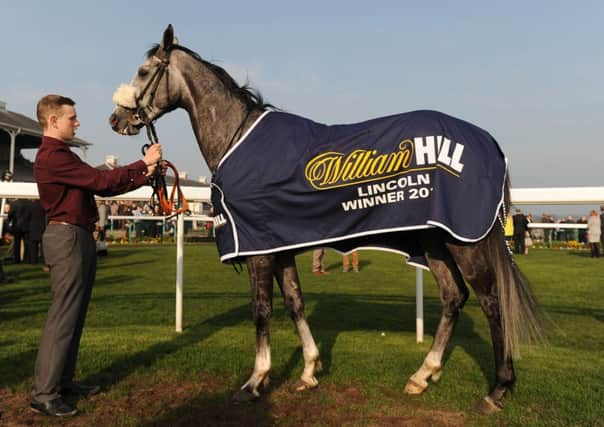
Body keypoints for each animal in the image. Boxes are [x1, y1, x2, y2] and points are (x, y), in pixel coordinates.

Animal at [109, 25, 548, 412]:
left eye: (144, 72)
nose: (116, 119)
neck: (240, 139)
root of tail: (488, 141)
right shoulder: (279, 245)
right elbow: (295, 303)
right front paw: (309, 370)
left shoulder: (258, 250)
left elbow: (262, 310)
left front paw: (255, 381)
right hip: (433, 241)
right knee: (453, 296)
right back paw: (424, 375)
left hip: (465, 241)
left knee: (491, 301)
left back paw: (497, 389)